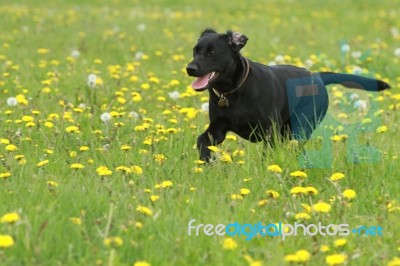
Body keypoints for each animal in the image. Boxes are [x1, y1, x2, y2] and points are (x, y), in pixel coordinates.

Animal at [186, 29, 390, 162]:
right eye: (195, 50)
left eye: (212, 52)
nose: (190, 68)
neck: (233, 91)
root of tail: (317, 76)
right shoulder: (218, 128)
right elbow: (202, 140)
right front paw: (205, 162)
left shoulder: (270, 131)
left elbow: (267, 155)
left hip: (301, 127)